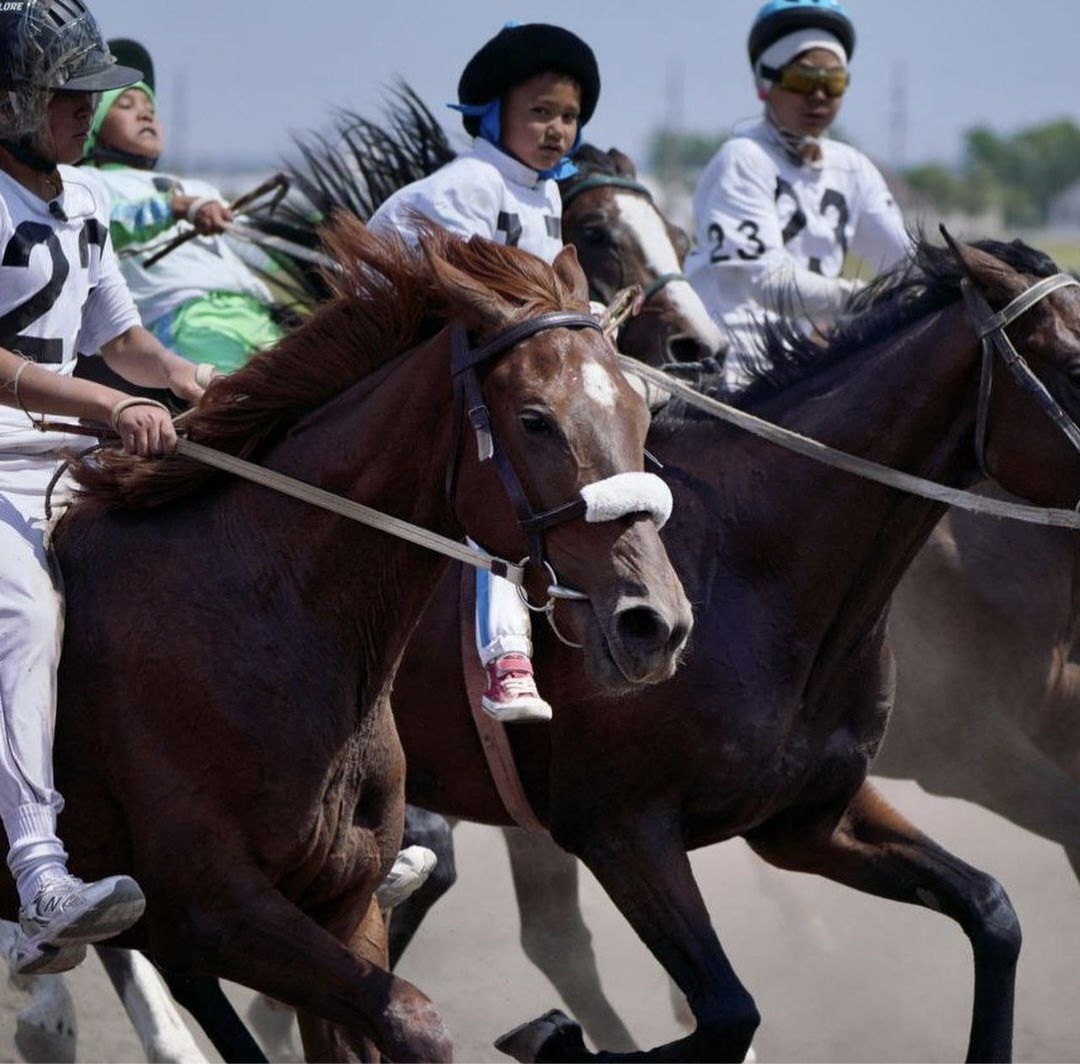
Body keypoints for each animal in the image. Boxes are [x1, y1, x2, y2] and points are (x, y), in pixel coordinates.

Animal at [12, 216, 686, 1062]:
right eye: (535, 418)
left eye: (639, 411)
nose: (656, 622)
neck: (262, 613)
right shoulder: (217, 907)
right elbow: (414, 1020)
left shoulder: (346, 898)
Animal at [378, 234, 1080, 1062]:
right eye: (1075, 363)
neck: (753, 565)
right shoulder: (622, 827)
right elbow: (727, 1012)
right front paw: (553, 1036)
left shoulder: (808, 817)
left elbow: (992, 911)